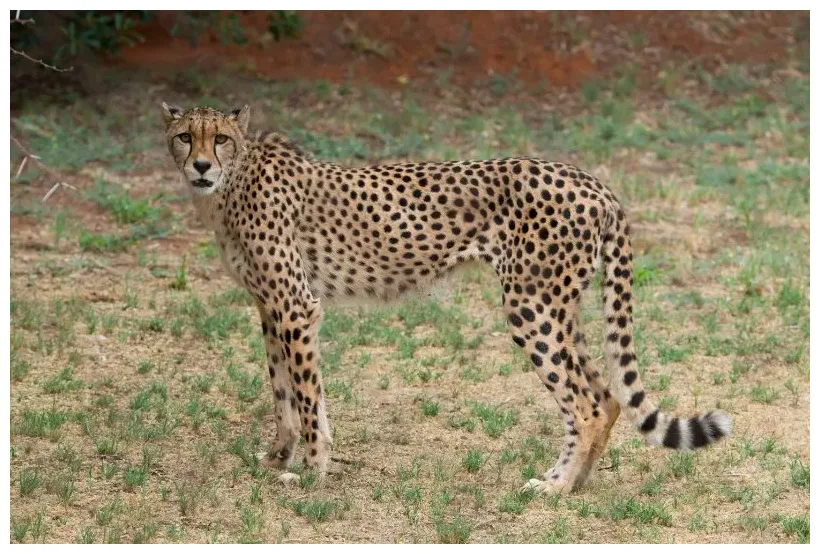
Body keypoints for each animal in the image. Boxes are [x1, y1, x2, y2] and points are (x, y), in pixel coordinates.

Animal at [161, 102, 732, 494]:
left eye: (221, 140)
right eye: (185, 137)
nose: (201, 167)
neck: (232, 184)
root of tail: (592, 181)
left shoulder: (296, 305)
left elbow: (303, 394)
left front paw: (314, 472)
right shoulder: (270, 307)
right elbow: (285, 391)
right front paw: (281, 457)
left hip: (532, 308)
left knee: (588, 404)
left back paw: (557, 489)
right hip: (561, 308)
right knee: (606, 396)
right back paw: (576, 481)